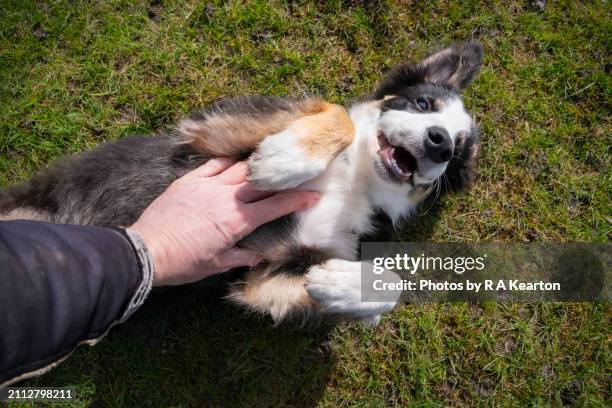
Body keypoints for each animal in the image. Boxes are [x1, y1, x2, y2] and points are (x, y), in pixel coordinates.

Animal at [2, 42, 486, 326]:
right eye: (423, 104)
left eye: (458, 156)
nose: (441, 144)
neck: (354, 181)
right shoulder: (216, 129)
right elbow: (339, 115)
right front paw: (283, 161)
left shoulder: (264, 277)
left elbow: (390, 287)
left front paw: (344, 284)